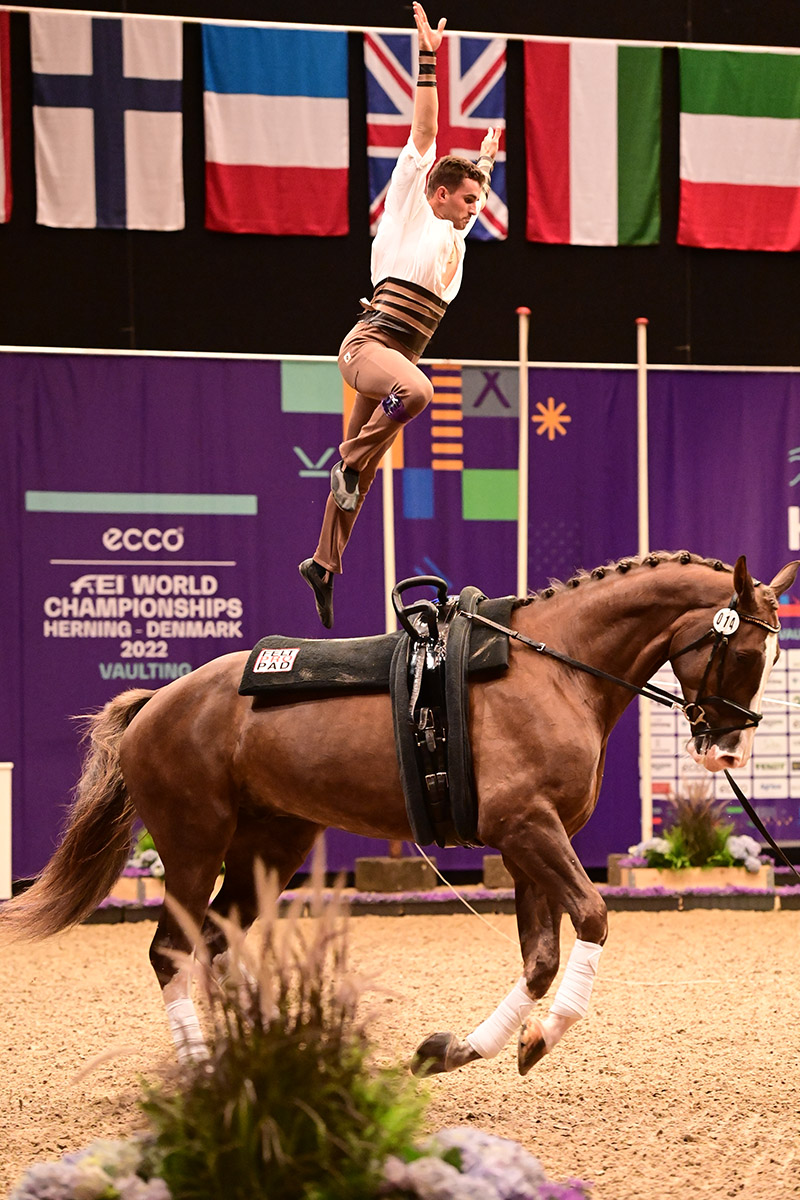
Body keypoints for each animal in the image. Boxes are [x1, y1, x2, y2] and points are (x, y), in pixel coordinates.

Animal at [0, 552, 796, 1080]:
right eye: (746, 650)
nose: (729, 749)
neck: (555, 667)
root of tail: (156, 703)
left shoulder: (532, 840)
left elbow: (539, 957)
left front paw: (460, 1049)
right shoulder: (527, 829)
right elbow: (594, 919)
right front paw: (541, 1038)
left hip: (269, 847)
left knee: (216, 947)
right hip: (193, 847)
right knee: (170, 951)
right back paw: (204, 1068)